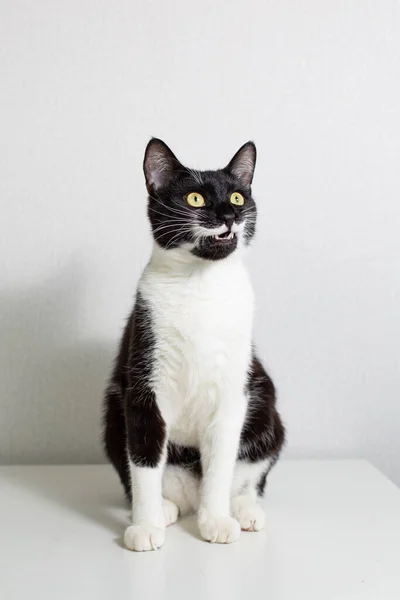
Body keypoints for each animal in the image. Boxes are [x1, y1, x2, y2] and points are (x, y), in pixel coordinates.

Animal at [102, 138, 284, 552]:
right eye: (196, 198)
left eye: (238, 196)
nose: (229, 214)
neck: (201, 286)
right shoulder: (143, 377)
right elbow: (144, 459)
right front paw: (145, 525)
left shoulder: (234, 390)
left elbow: (221, 463)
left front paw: (215, 520)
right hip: (112, 415)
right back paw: (165, 508)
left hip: (266, 406)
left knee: (249, 471)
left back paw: (243, 509)